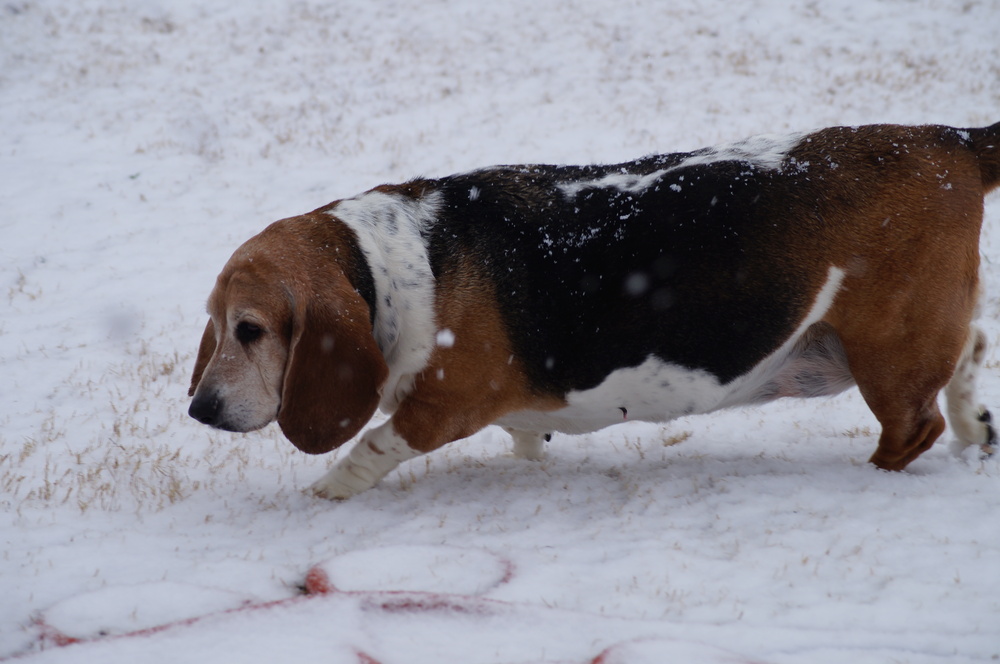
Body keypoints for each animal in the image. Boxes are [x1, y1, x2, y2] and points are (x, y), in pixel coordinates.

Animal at [189, 123, 1000, 498]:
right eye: (217, 323)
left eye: (251, 330)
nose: (200, 409)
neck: (387, 266)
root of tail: (949, 140)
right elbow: (527, 438)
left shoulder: (440, 410)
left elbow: (371, 446)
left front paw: (324, 494)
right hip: (909, 336)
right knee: (970, 348)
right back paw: (975, 427)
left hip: (888, 350)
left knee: (914, 427)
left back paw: (883, 473)